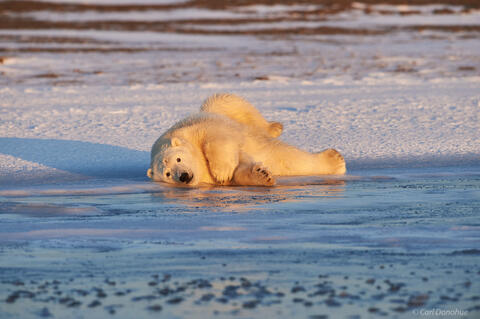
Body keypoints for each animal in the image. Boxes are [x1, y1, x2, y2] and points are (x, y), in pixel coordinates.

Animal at [146, 93, 344, 188]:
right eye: (167, 174)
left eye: (178, 158)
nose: (184, 176)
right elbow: (241, 168)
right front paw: (262, 175)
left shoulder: (195, 130)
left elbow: (217, 139)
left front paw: (221, 171)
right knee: (288, 161)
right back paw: (335, 161)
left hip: (219, 110)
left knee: (229, 101)